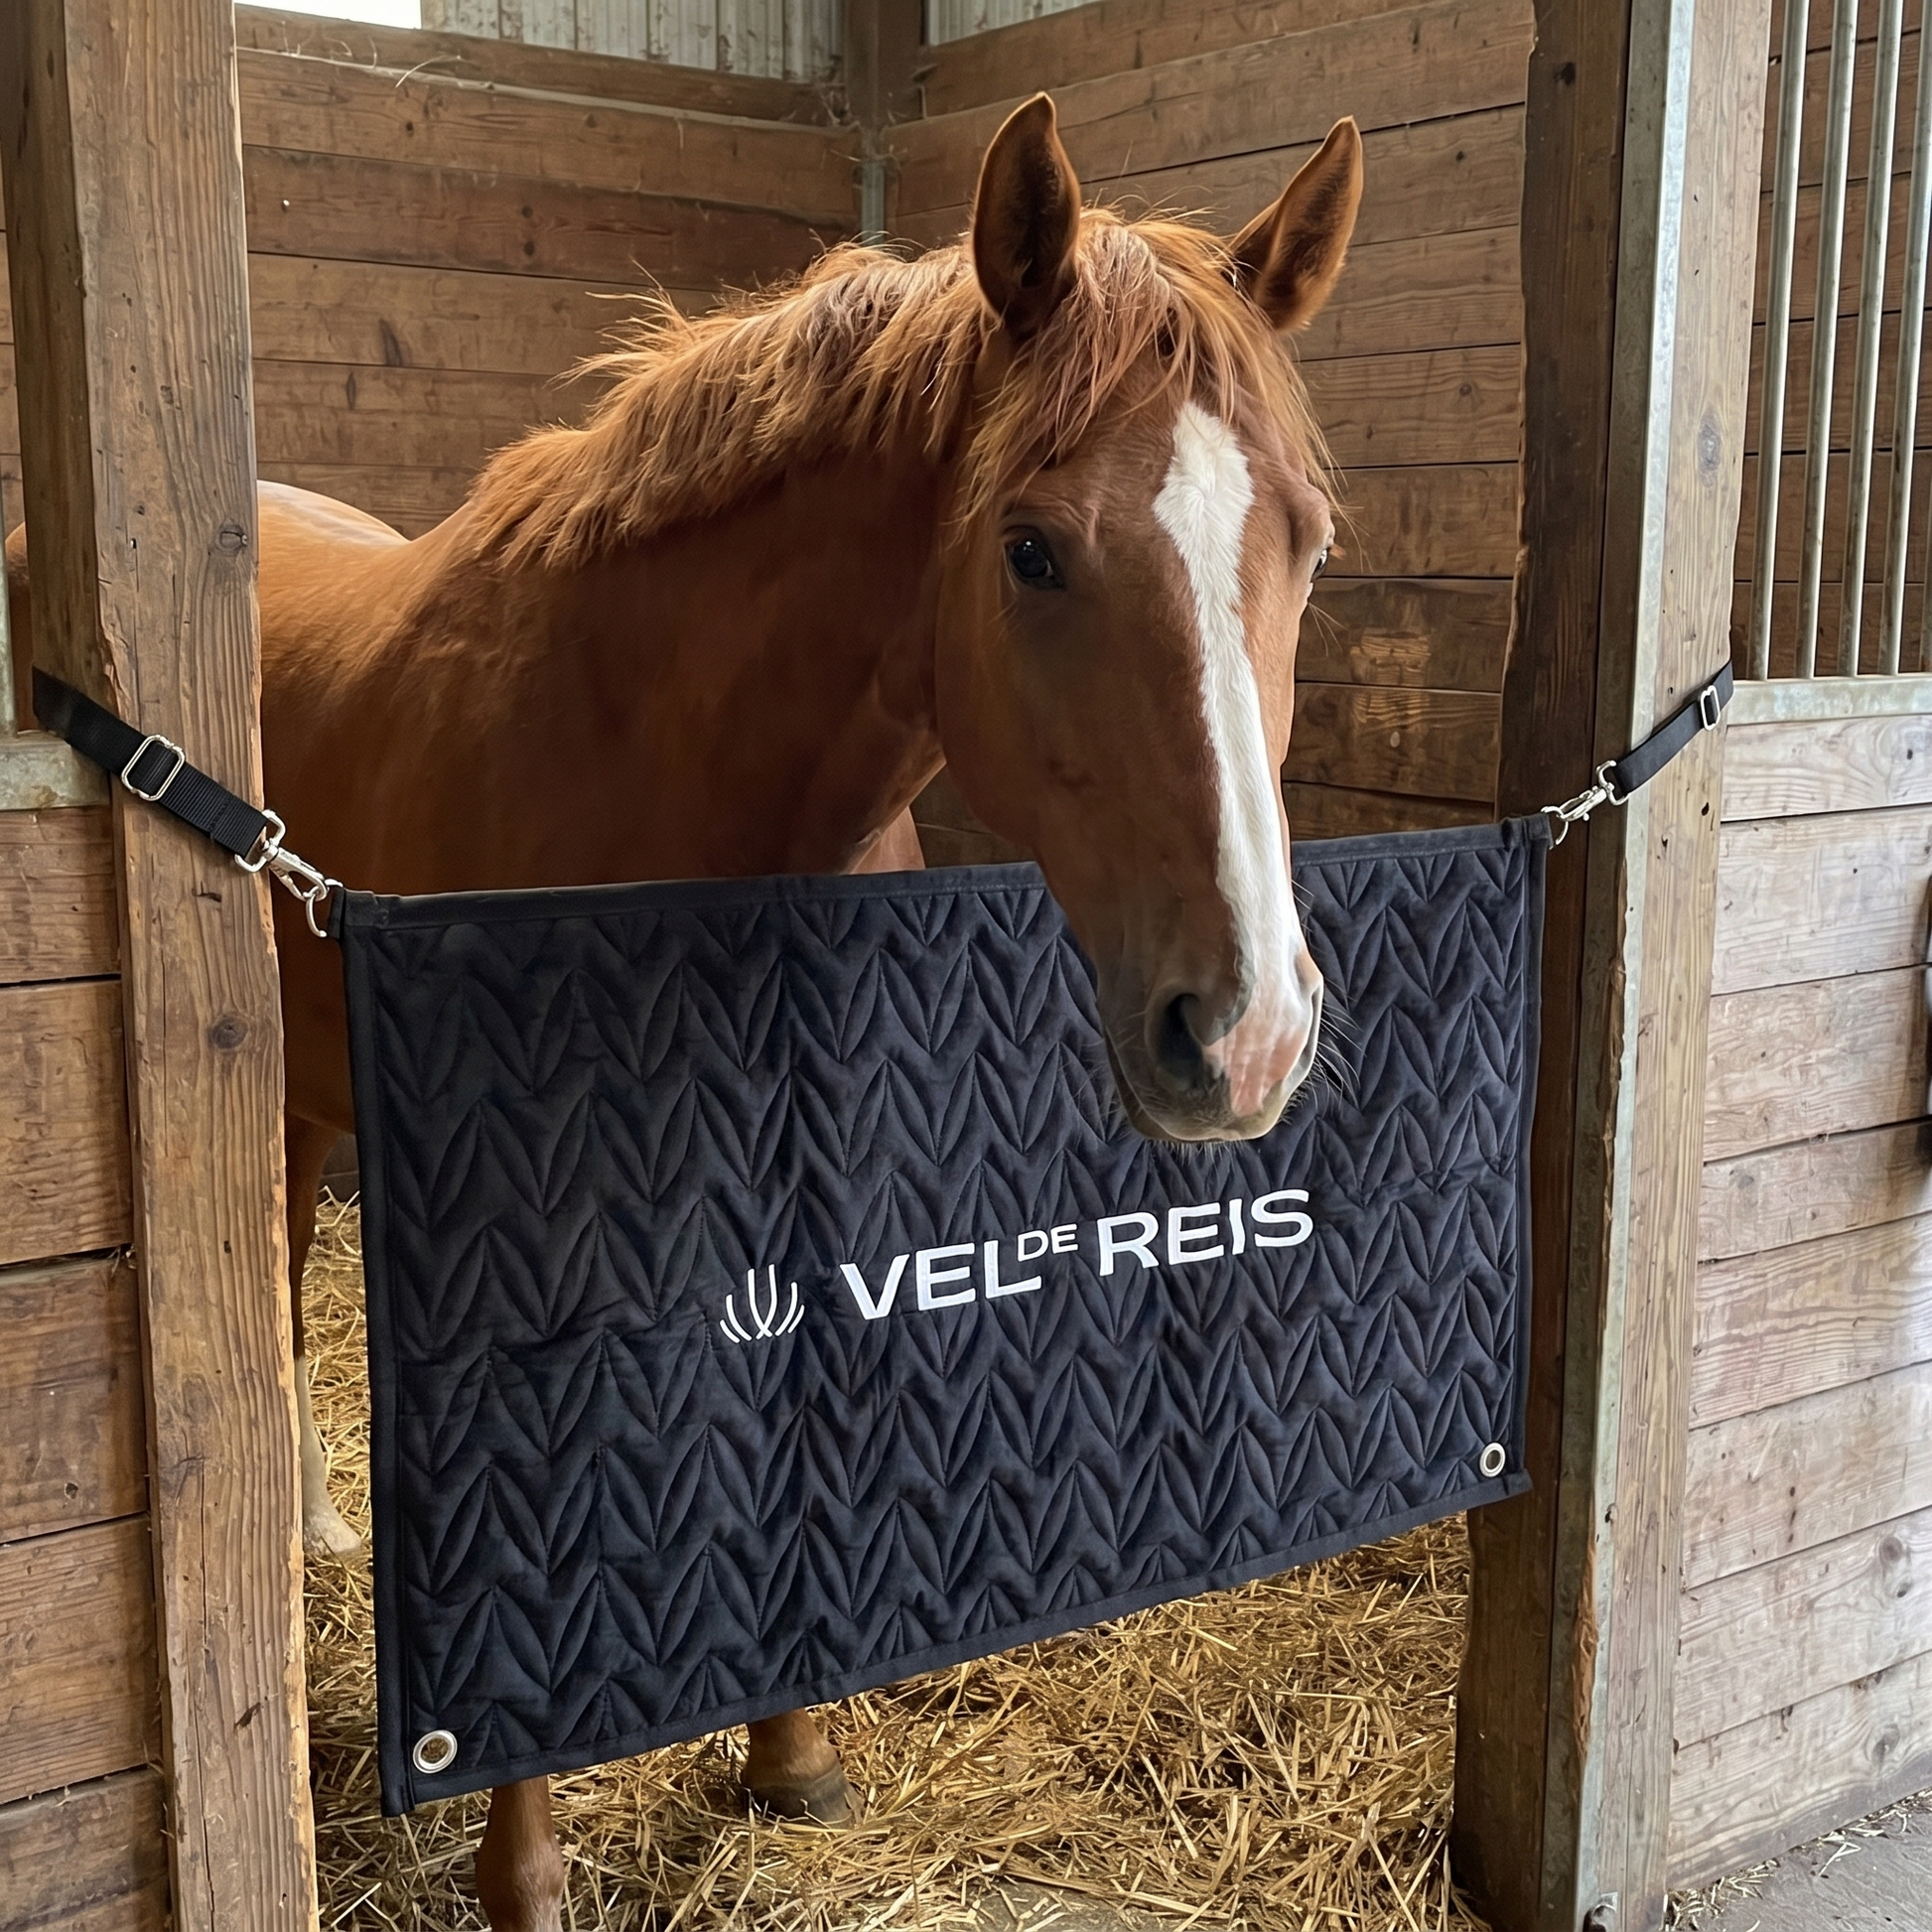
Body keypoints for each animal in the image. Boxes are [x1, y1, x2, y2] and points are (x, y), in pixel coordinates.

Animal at [8, 92, 1360, 1932]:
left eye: (1307, 536)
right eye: (1030, 548)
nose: (1243, 1036)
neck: (657, 766)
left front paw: (787, 1762)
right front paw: (524, 1872)